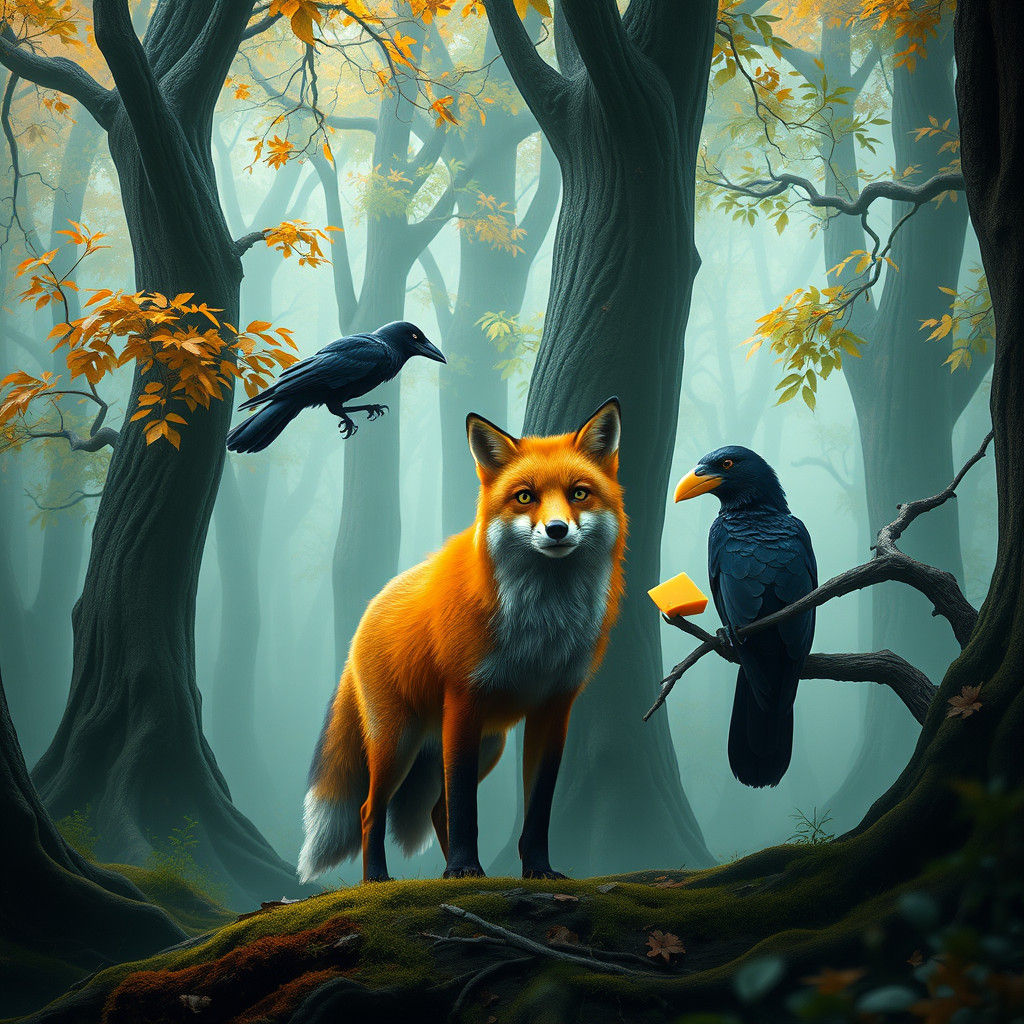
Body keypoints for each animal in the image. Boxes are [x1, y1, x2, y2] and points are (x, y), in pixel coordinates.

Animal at [297, 397, 627, 883]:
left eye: (579, 493)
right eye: (524, 496)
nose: (557, 530)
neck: (541, 625)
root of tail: (372, 605)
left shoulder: (554, 707)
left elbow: (537, 808)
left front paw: (537, 869)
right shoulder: (464, 699)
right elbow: (465, 807)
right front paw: (463, 868)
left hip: (489, 743)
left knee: (435, 810)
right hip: (397, 741)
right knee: (370, 809)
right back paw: (377, 879)